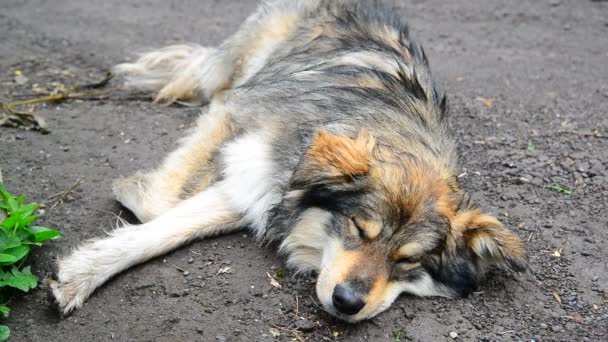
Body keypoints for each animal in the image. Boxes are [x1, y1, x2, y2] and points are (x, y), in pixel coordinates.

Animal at [48, 0, 524, 324]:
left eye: (408, 261)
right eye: (358, 229)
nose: (347, 303)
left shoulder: (265, 186)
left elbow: (162, 231)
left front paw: (81, 273)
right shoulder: (240, 127)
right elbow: (160, 210)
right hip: (240, 63)